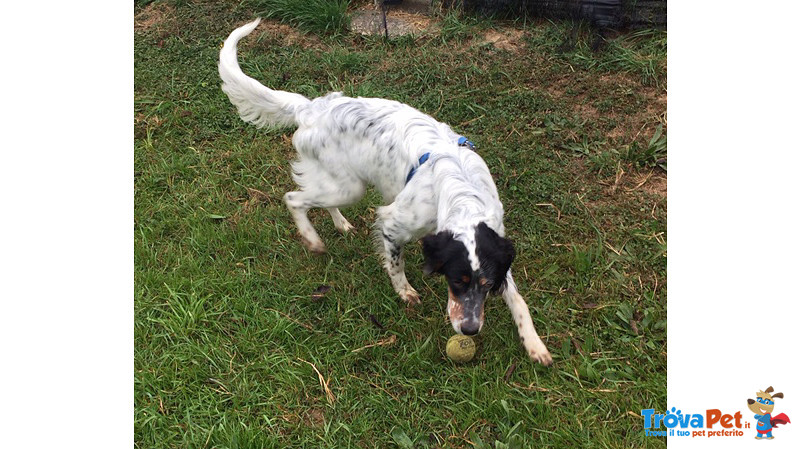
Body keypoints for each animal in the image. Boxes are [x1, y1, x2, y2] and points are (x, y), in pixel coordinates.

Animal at [222, 18, 552, 364]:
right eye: (456, 280)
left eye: (487, 285)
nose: (470, 330)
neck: (462, 193)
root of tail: (312, 108)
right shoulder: (393, 223)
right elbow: (396, 264)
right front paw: (405, 291)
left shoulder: (497, 245)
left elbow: (518, 299)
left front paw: (534, 343)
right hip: (349, 187)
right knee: (294, 199)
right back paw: (313, 240)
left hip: (343, 182)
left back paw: (341, 225)